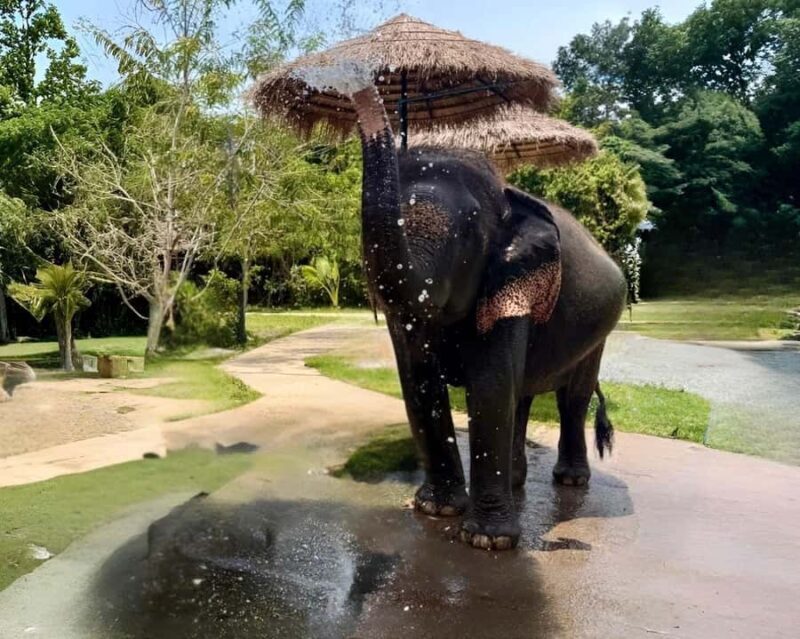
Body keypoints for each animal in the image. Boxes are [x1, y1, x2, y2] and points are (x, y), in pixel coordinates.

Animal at [350, 86, 627, 551]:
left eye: (467, 233)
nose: (361, 88)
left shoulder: (510, 283)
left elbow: (490, 384)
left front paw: (486, 541)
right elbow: (419, 382)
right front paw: (436, 509)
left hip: (601, 331)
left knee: (573, 397)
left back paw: (570, 481)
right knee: (524, 394)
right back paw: (517, 482)